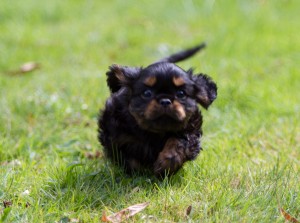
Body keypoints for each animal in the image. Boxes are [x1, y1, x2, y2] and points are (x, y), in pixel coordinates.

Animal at [97, 42, 217, 177]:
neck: (155, 132)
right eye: (147, 93)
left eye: (181, 94)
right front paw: (138, 172)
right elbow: (127, 157)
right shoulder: (114, 136)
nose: (165, 100)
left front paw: (166, 163)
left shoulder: (191, 130)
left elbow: (179, 142)